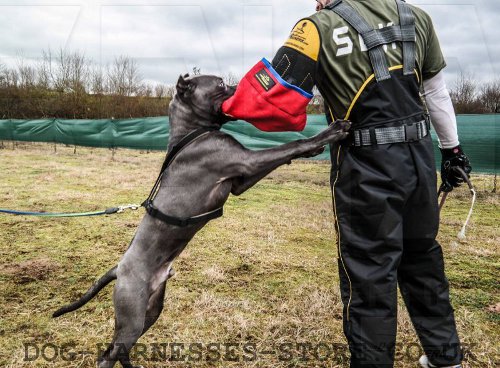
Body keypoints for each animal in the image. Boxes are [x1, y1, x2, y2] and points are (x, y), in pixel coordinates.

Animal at [53, 73, 352, 366]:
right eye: (219, 83)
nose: (239, 87)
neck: (192, 132)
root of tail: (118, 269)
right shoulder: (246, 161)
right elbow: (289, 145)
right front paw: (329, 133)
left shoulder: (241, 180)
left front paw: (314, 149)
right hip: (133, 315)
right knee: (111, 353)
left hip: (152, 310)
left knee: (112, 351)